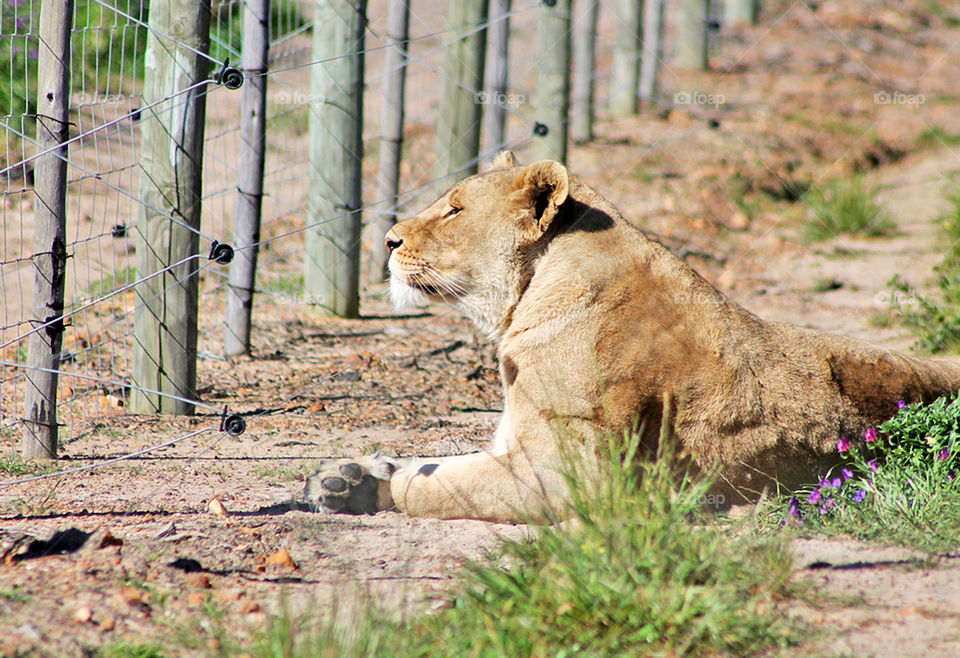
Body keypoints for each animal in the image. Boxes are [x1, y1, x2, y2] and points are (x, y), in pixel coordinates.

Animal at [304, 151, 960, 522]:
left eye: (455, 210)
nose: (388, 240)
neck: (529, 293)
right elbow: (438, 462)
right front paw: (349, 477)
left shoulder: (568, 478)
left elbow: (442, 486)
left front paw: (378, 487)